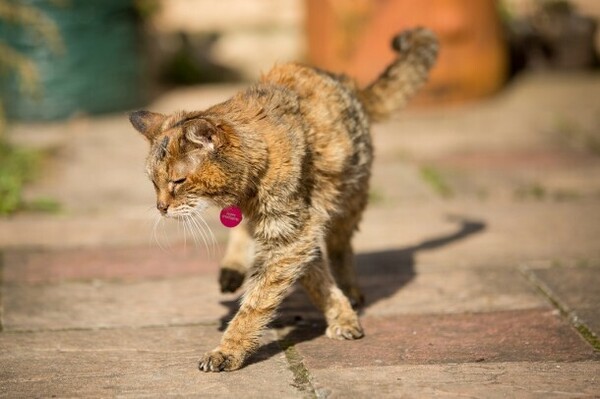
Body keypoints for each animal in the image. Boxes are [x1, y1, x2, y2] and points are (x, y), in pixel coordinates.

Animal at [129, 27, 438, 372]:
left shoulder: (295, 233)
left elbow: (260, 299)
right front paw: (340, 312)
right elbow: (311, 278)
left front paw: (230, 349)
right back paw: (233, 268)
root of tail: (346, 81)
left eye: (178, 181)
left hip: (349, 201)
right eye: (153, 182)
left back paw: (351, 288)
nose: (161, 208)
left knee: (341, 247)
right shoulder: (293, 233)